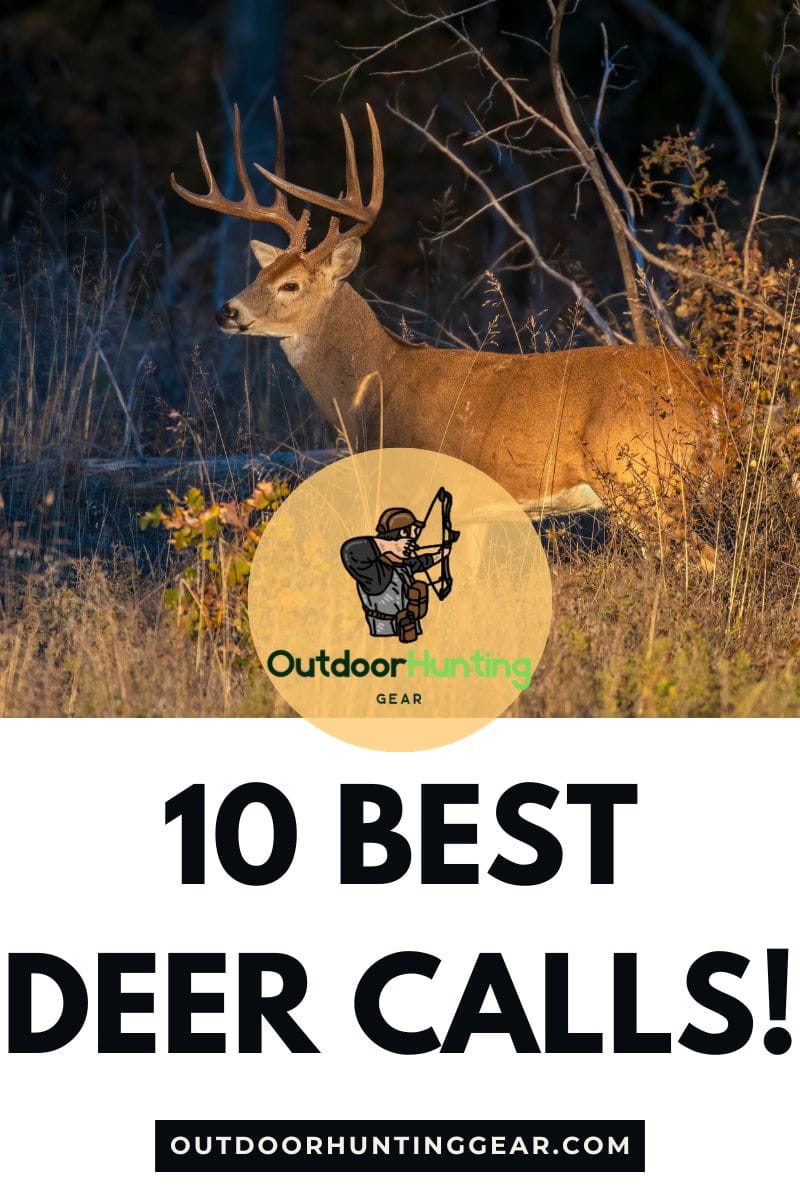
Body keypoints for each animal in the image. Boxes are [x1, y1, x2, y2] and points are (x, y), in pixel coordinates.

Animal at [171, 101, 723, 566]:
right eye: (259, 273)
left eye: (290, 285)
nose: (226, 312)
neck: (377, 384)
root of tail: (711, 398)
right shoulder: (476, 511)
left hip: (642, 481)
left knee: (704, 559)